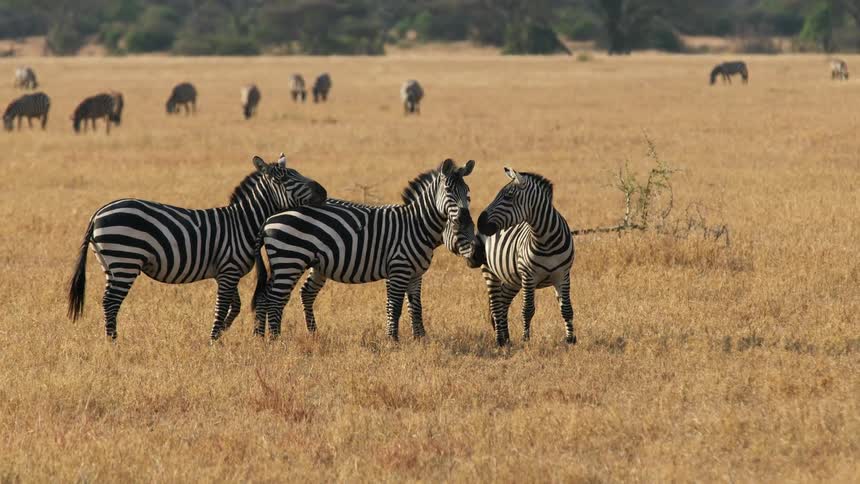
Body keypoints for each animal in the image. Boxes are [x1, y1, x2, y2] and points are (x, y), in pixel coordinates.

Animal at [67, 154, 328, 341]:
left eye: (296, 173)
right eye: (284, 179)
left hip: (109, 263)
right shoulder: (228, 270)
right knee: (111, 302)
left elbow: (235, 306)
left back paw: (110, 338)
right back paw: (113, 342)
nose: (324, 191)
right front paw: (214, 340)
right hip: (125, 260)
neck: (243, 223)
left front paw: (221, 333)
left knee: (107, 301)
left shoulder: (226, 272)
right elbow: (222, 306)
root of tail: (98, 212)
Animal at [252, 159, 477, 341]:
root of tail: (268, 219)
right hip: (289, 261)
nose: (466, 221)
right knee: (275, 300)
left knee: (270, 296)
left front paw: (421, 339)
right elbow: (394, 307)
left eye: (468, 193)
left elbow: (416, 307)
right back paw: (276, 340)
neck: (416, 225)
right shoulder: (398, 270)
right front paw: (393, 340)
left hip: (294, 263)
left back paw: (265, 337)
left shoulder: (415, 274)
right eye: (449, 191)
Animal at [471, 168, 576, 346]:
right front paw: (525, 340)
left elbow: (566, 308)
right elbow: (527, 309)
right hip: (490, 272)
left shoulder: (563, 275)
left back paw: (506, 338)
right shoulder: (528, 276)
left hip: (512, 278)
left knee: (503, 302)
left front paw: (570, 340)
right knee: (496, 305)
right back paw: (500, 340)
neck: (546, 240)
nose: (480, 223)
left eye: (508, 197)